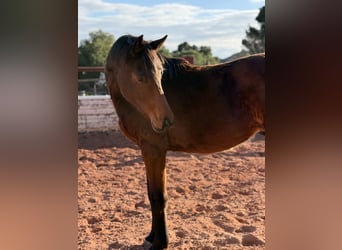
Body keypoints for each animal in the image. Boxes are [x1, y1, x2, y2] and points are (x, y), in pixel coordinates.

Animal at [105, 34, 266, 249]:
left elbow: (158, 197)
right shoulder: (147, 151)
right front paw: (151, 237)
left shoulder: (154, 150)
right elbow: (150, 194)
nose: (166, 120)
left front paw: (160, 242)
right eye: (140, 78)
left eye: (160, 74)